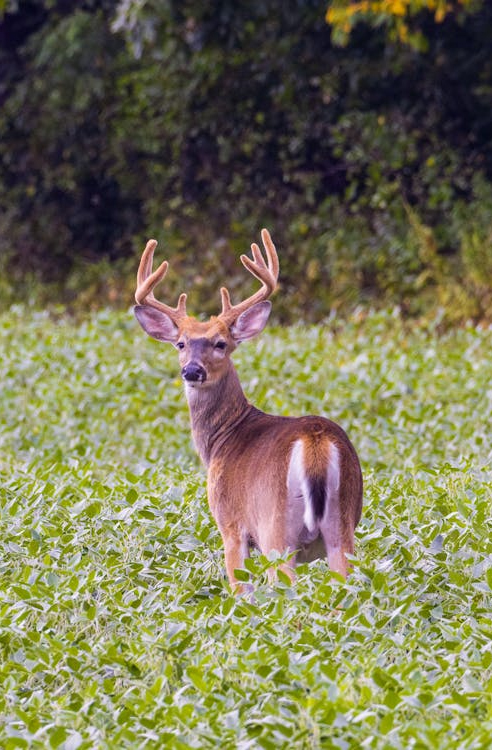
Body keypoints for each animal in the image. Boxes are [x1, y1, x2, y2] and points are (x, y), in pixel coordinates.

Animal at [134, 229, 362, 592]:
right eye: (181, 343)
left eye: (221, 343)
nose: (192, 371)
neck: (221, 439)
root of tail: (315, 442)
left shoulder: (230, 524)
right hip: (343, 526)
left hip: (275, 528)